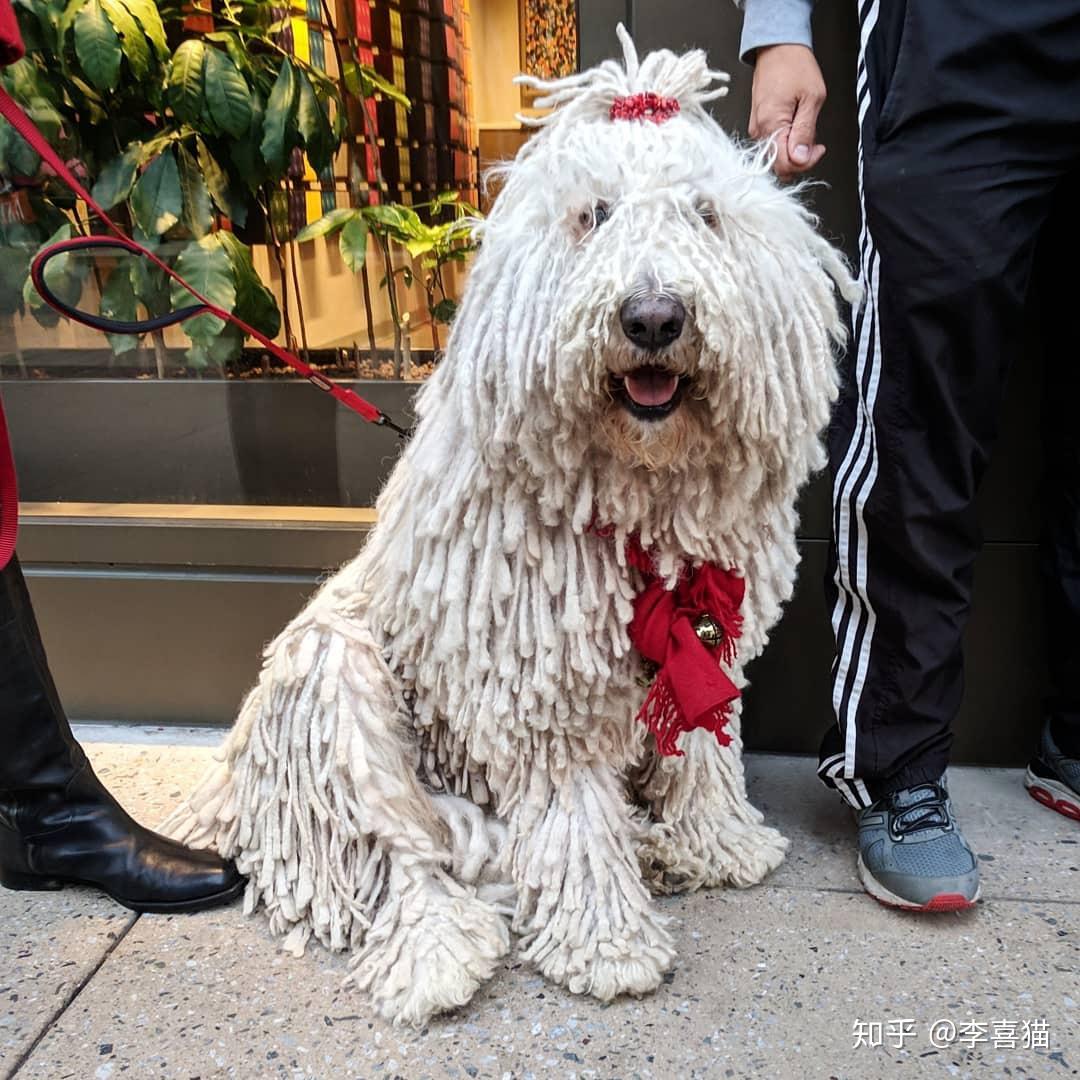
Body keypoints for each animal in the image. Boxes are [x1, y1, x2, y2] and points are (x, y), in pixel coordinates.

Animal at [164, 25, 859, 1019]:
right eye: (593, 215)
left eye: (704, 216)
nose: (654, 316)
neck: (631, 491)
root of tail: (230, 799)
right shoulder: (540, 692)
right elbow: (572, 816)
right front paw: (607, 943)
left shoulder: (703, 628)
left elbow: (697, 742)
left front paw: (717, 842)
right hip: (335, 683)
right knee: (396, 853)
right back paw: (437, 953)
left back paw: (646, 848)